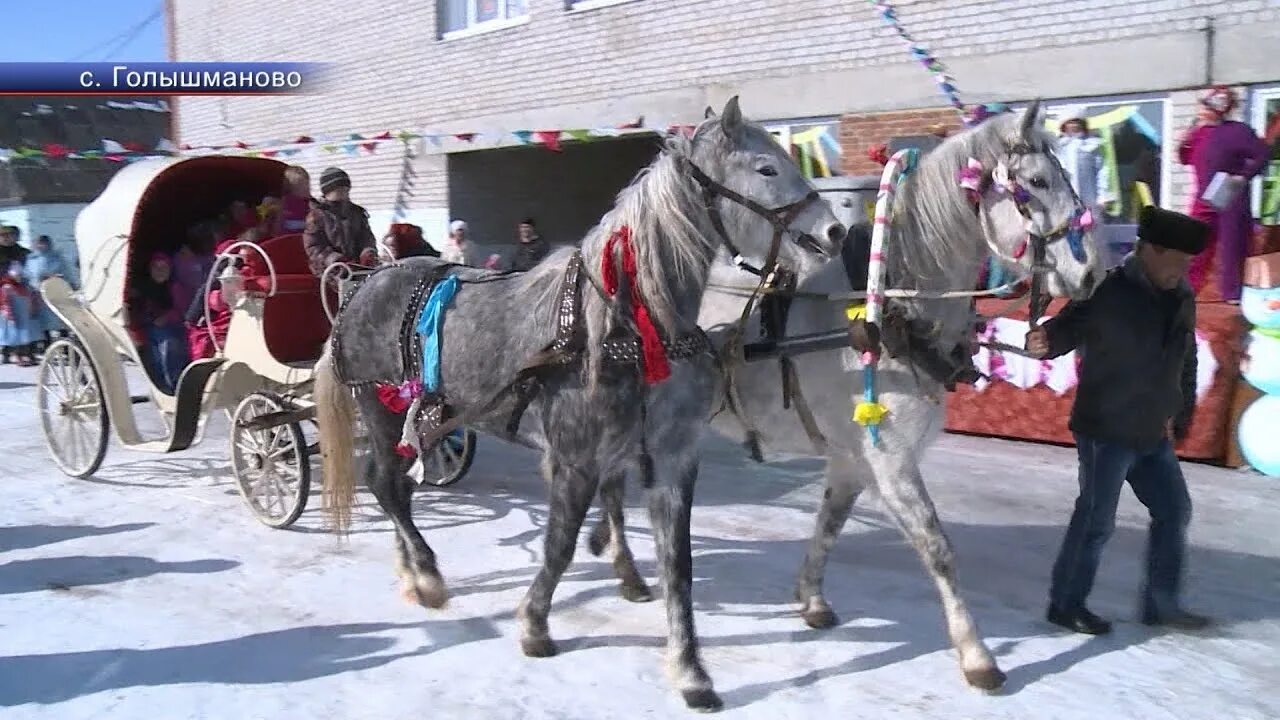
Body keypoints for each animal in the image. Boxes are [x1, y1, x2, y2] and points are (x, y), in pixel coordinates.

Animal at [313, 96, 844, 712]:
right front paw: (534, 624)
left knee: (395, 486)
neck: (624, 325)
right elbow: (560, 546)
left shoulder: (671, 460)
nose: (834, 229)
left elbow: (678, 565)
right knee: (386, 485)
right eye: (766, 168)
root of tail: (362, 283)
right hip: (381, 409)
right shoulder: (575, 459)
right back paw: (426, 575)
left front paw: (690, 671)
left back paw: (409, 571)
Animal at [586, 101, 1100, 691]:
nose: (1091, 270)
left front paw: (811, 598)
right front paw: (977, 655)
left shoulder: (855, 461)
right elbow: (937, 548)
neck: (887, 310)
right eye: (1037, 182)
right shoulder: (891, 460)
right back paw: (623, 564)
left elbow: (829, 525)